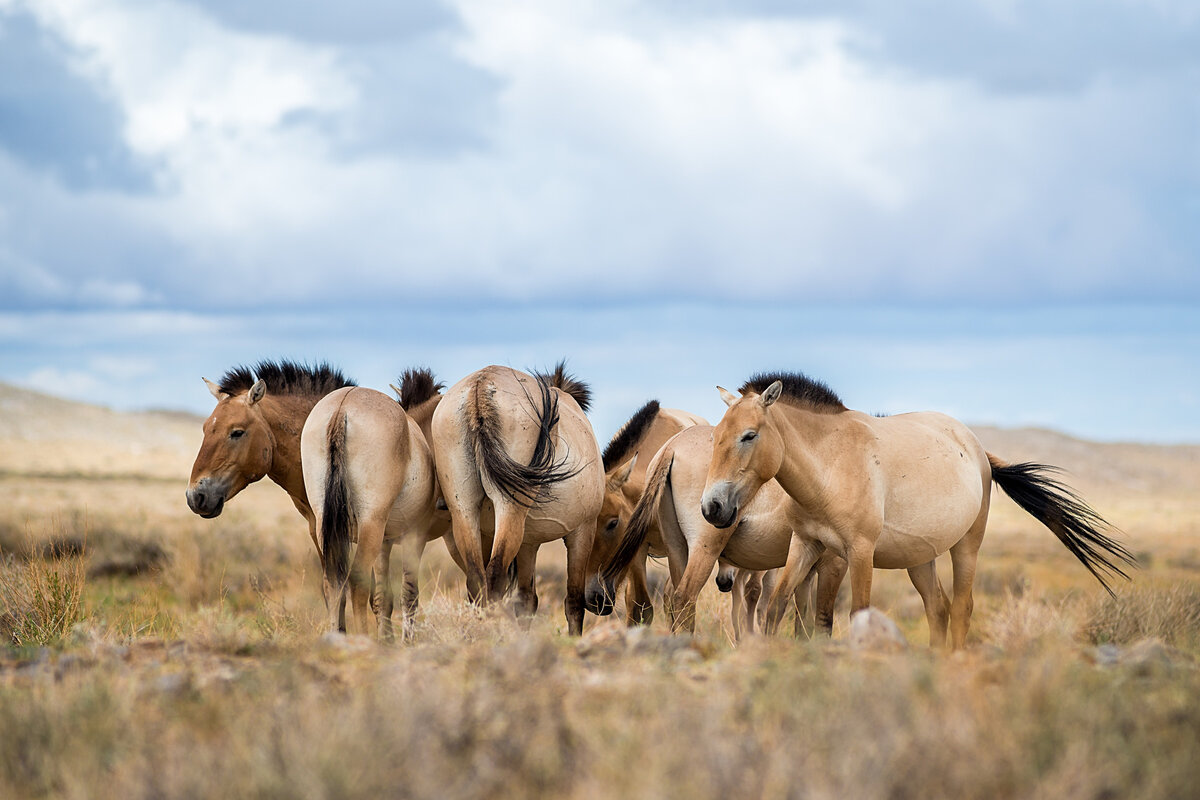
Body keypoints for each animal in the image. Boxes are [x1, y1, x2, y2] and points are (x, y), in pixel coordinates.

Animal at [302, 383, 444, 642]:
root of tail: (342, 407)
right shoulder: (415, 535)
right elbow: (409, 594)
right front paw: (405, 642)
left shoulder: (384, 542)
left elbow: (382, 597)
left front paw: (388, 640)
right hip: (371, 524)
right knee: (357, 582)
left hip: (327, 526)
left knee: (332, 583)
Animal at [429, 367, 604, 633]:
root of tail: (480, 386)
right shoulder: (583, 530)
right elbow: (573, 601)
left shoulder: (528, 543)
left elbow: (526, 602)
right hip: (509, 508)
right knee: (494, 576)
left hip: (463, 509)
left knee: (476, 579)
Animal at [700, 371, 1137, 647]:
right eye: (717, 435)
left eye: (749, 435)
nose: (712, 507)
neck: (832, 463)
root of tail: (977, 448)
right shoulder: (805, 546)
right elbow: (776, 608)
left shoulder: (857, 553)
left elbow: (855, 614)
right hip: (920, 559)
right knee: (937, 608)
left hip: (967, 547)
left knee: (961, 608)